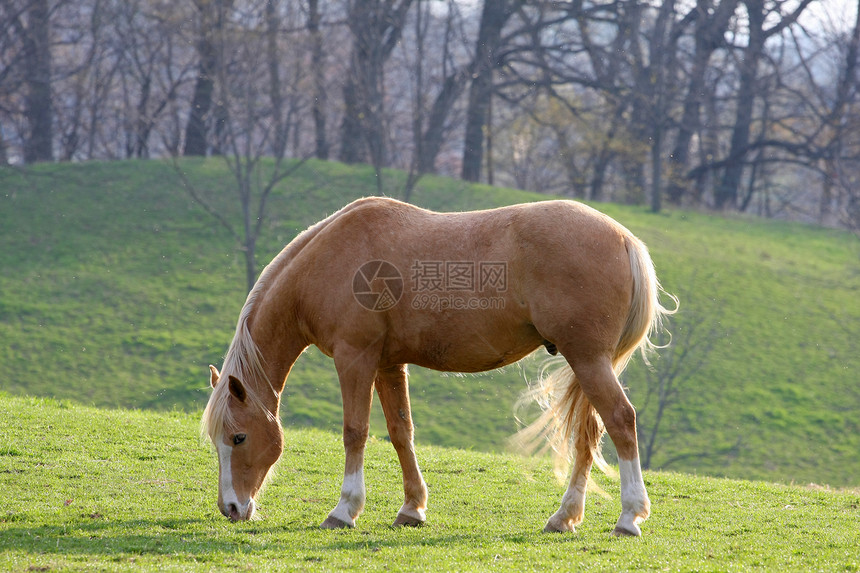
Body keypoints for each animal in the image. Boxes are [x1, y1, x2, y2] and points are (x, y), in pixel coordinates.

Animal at [203, 198, 680, 536]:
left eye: (238, 437)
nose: (231, 509)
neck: (329, 259)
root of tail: (625, 239)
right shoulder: (388, 364)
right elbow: (401, 433)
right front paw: (412, 508)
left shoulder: (354, 357)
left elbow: (355, 431)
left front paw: (344, 510)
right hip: (588, 364)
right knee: (589, 435)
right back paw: (564, 517)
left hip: (587, 359)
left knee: (620, 420)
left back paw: (629, 517)